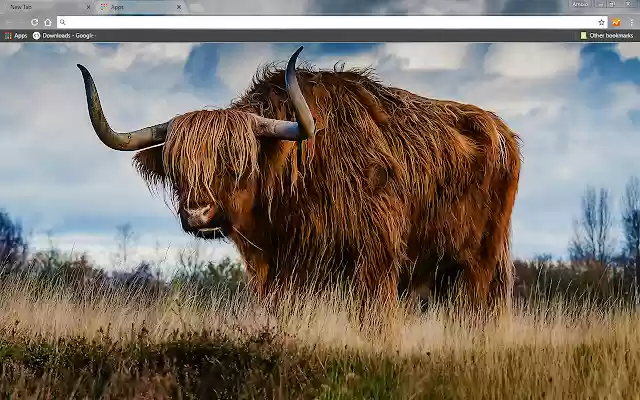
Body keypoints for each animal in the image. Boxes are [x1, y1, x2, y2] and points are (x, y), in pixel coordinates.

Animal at [76, 46, 521, 315]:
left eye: (237, 162)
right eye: (177, 167)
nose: (198, 214)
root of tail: (500, 128)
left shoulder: (375, 258)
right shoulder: (279, 271)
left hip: (482, 262)